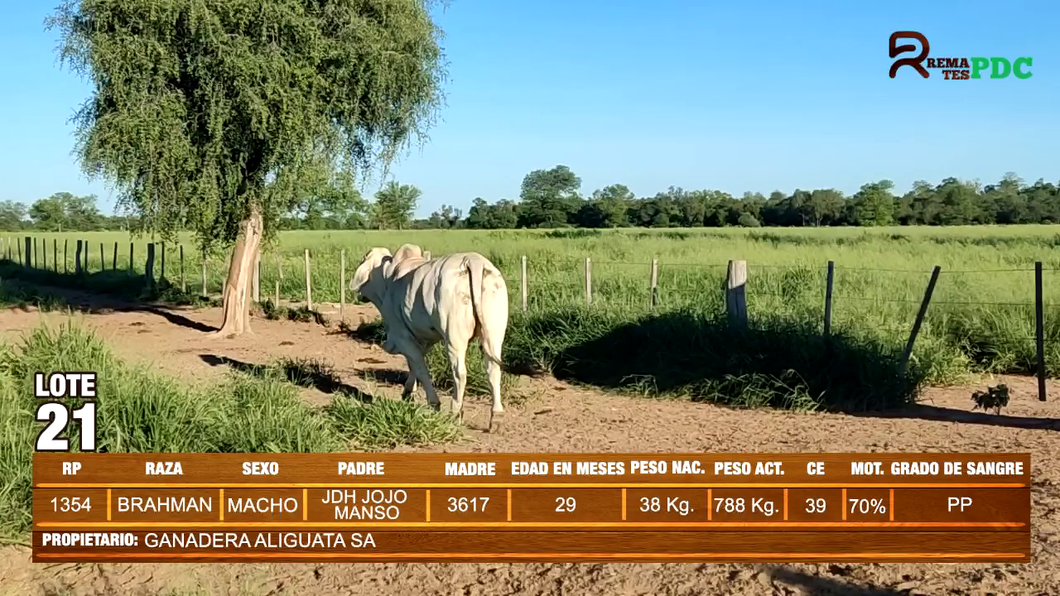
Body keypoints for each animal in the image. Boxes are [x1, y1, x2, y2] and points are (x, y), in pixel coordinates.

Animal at [349, 243, 510, 428]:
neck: (388, 280)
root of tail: (473, 260)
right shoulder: (421, 339)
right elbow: (413, 366)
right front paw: (407, 393)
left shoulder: (403, 338)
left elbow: (420, 369)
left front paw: (433, 403)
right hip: (494, 333)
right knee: (494, 370)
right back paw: (496, 415)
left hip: (454, 336)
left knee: (460, 373)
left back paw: (455, 412)